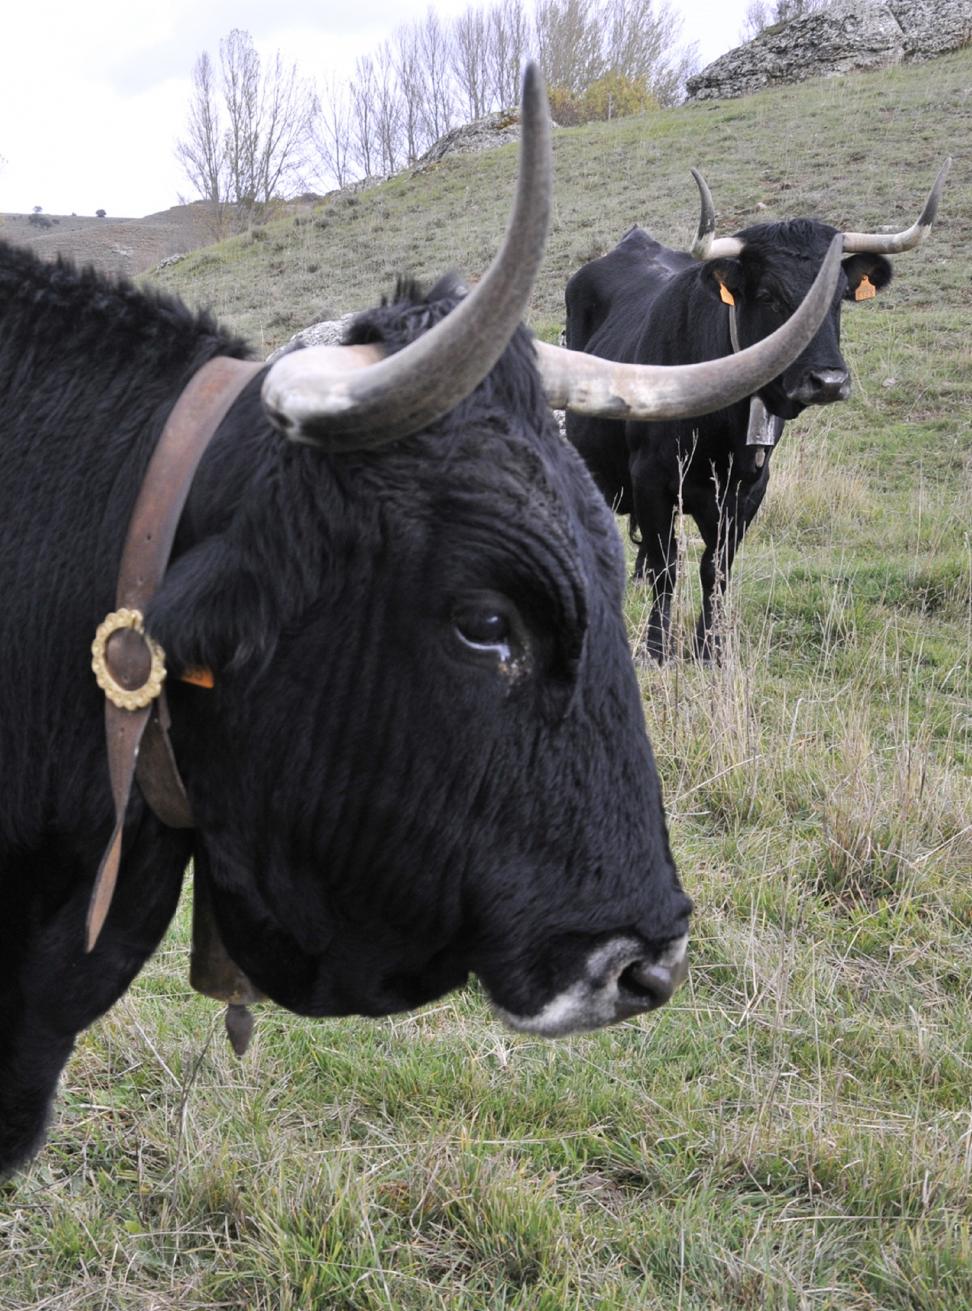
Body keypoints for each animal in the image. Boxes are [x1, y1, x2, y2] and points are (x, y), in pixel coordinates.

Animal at [561, 161, 949, 665]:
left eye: (838, 297)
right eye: (768, 295)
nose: (828, 381)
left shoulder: (748, 490)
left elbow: (716, 569)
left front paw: (710, 650)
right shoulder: (652, 480)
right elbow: (669, 566)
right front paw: (657, 650)